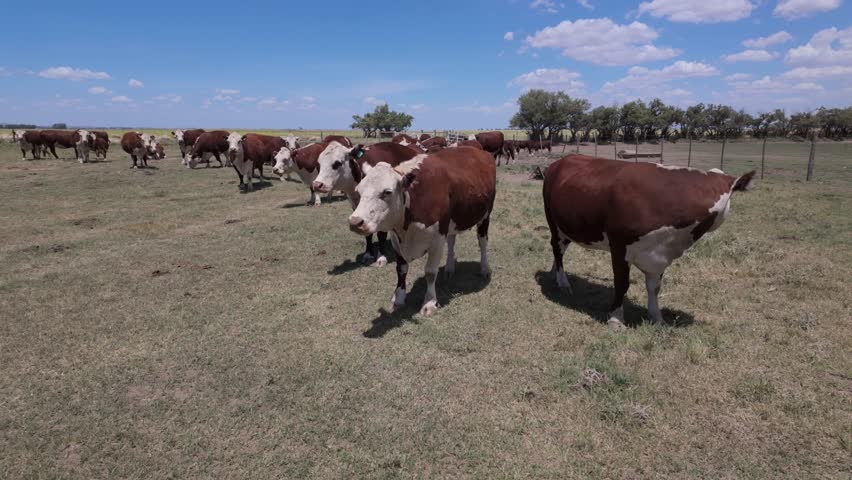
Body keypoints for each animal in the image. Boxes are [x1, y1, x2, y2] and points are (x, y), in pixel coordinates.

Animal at [348, 147, 497, 316]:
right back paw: (450, 267)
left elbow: (430, 272)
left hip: (485, 215)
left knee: (482, 242)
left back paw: (485, 268)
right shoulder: (396, 240)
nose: (355, 222)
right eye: (359, 191)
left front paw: (429, 302)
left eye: (387, 192)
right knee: (452, 241)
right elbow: (401, 269)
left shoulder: (437, 239)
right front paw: (398, 297)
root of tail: (477, 149)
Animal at [543, 155, 756, 329]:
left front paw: (656, 318)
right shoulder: (619, 246)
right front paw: (616, 319)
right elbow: (622, 284)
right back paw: (563, 282)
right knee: (557, 248)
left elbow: (654, 287)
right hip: (553, 221)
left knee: (560, 250)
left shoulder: (661, 254)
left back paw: (555, 272)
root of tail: (560, 161)